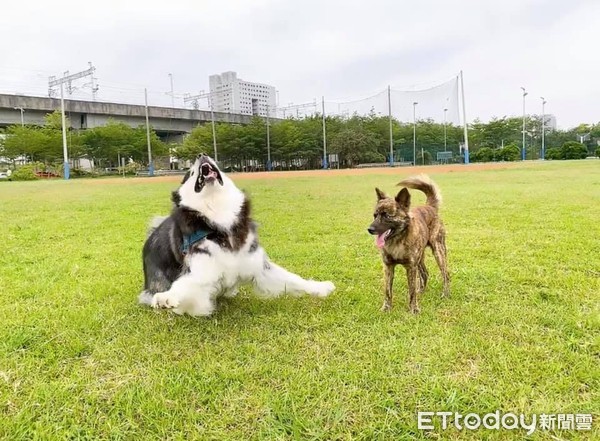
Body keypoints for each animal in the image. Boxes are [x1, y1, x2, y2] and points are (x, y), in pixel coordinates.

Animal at [139, 153, 336, 314]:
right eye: (189, 173)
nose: (201, 154)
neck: (220, 222)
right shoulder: (200, 272)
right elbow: (184, 286)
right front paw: (167, 297)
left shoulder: (258, 265)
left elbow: (294, 279)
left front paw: (320, 287)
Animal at [368, 174, 448, 312]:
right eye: (375, 215)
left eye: (387, 216)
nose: (369, 229)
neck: (397, 241)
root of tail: (430, 207)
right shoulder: (388, 267)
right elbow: (387, 291)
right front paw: (386, 308)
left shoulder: (411, 267)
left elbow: (411, 291)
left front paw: (413, 309)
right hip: (420, 258)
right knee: (425, 274)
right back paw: (421, 291)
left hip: (438, 251)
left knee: (446, 274)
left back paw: (446, 293)